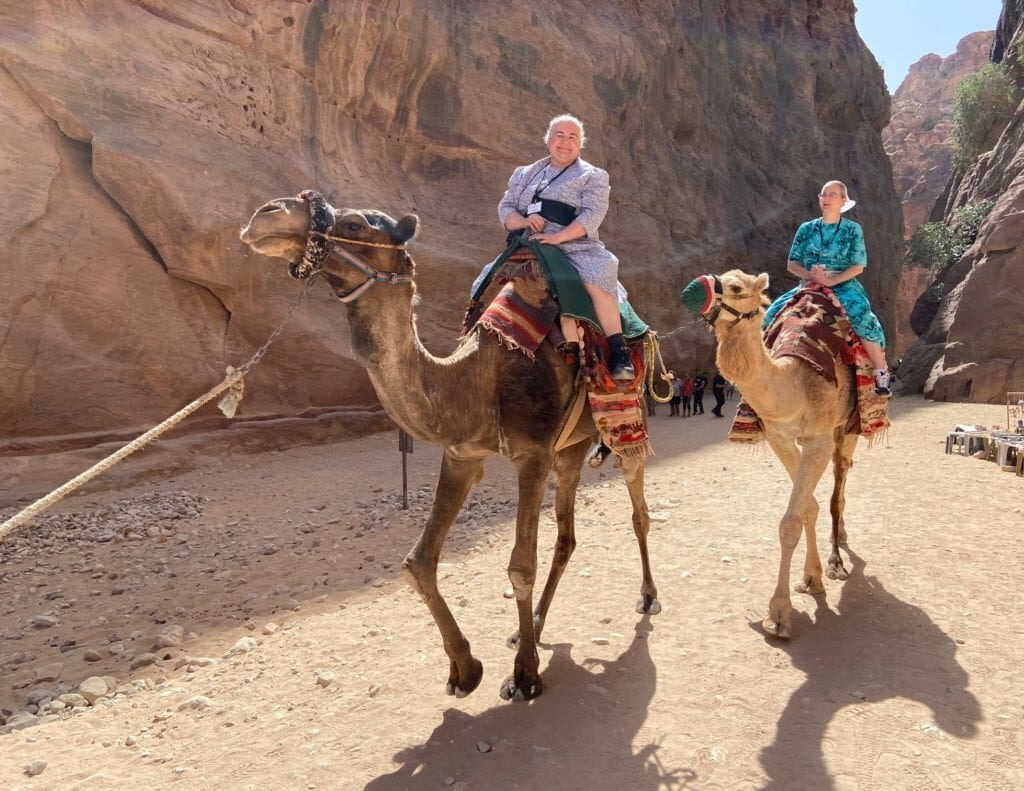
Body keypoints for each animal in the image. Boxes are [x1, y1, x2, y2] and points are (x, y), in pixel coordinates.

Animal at [239, 191, 660, 701]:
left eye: (356, 225)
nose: (267, 214)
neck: (478, 372)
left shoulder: (532, 456)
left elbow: (520, 566)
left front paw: (524, 675)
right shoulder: (463, 455)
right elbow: (417, 562)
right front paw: (465, 667)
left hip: (623, 421)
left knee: (637, 509)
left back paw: (647, 597)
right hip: (570, 452)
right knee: (566, 537)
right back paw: (533, 627)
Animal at [681, 270, 858, 640]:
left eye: (736, 287)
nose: (691, 291)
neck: (795, 381)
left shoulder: (819, 439)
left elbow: (792, 520)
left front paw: (778, 615)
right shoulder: (780, 436)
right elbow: (807, 508)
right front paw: (810, 578)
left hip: (848, 427)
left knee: (840, 485)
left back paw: (838, 558)